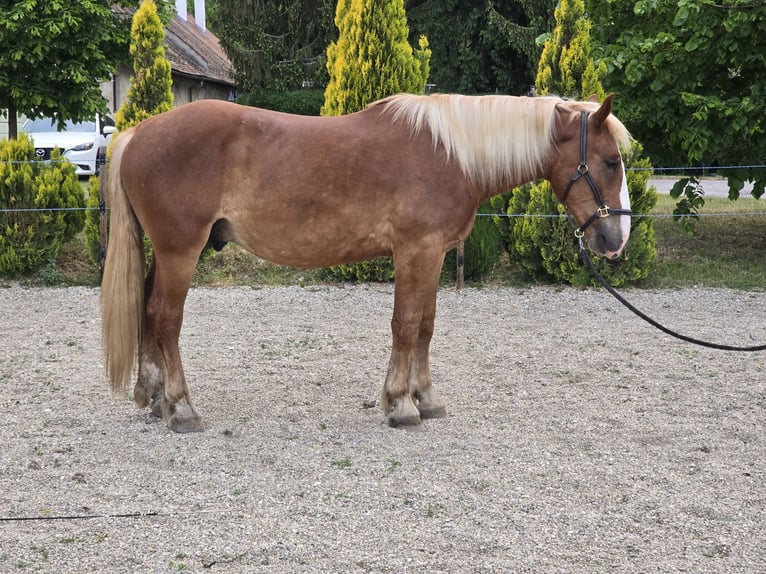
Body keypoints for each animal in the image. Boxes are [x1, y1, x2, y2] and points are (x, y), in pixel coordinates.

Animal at [101, 93, 632, 432]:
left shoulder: (433, 255)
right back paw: (181, 408)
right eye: (610, 161)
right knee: (165, 319)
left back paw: (153, 398)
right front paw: (400, 405)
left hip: (165, 253)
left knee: (147, 311)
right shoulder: (416, 251)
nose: (614, 240)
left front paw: (426, 399)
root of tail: (137, 133)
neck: (450, 153)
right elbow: (406, 325)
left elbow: (425, 327)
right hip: (180, 252)